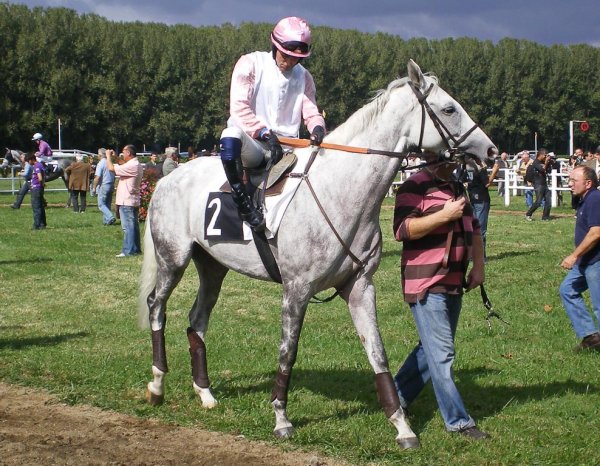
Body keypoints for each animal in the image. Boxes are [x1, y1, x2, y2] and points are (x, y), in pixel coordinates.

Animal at [138, 60, 494, 450]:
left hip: (213, 268)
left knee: (197, 320)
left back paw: (205, 393)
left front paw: (401, 425)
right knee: (157, 306)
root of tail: (167, 179)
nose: (491, 151)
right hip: (173, 259)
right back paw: (157, 384)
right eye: (449, 109)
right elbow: (287, 353)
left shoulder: (360, 287)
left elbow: (377, 352)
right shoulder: (296, 290)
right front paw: (281, 418)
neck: (339, 191)